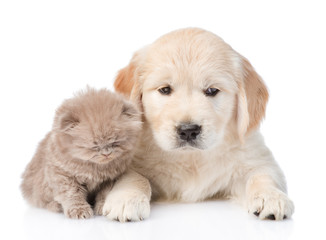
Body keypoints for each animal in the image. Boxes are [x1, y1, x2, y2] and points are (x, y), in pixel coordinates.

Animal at [20, 87, 141, 218]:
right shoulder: (62, 175)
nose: (106, 153)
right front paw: (79, 211)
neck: (96, 169)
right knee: (42, 201)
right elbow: (73, 195)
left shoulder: (110, 180)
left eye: (115, 142)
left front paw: (102, 207)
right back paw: (56, 206)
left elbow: (104, 194)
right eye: (94, 146)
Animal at [103, 27, 294, 221]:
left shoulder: (256, 155)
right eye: (165, 89)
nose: (188, 130)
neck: (191, 158)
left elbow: (262, 175)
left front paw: (270, 196)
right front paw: (127, 198)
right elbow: (133, 177)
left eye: (211, 90)